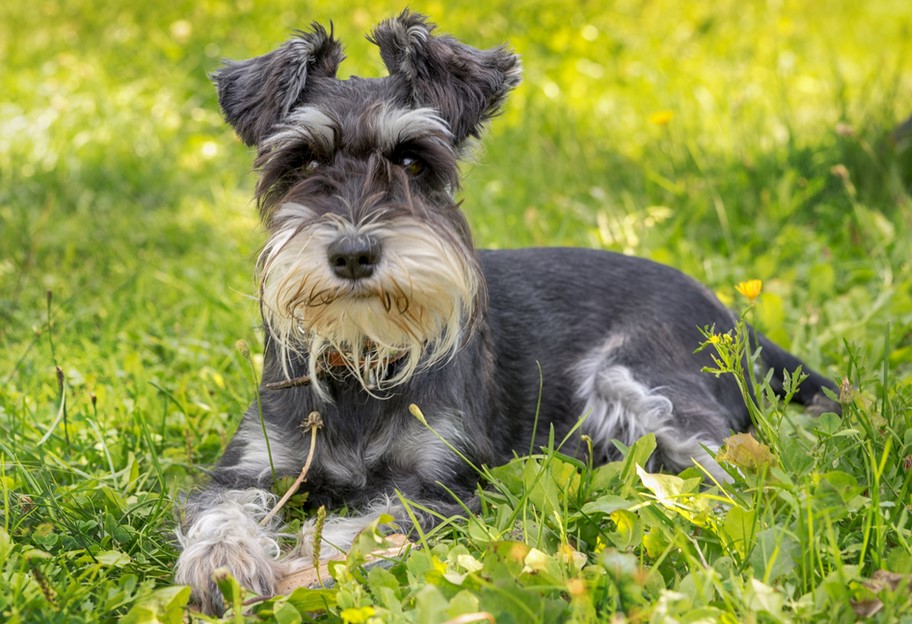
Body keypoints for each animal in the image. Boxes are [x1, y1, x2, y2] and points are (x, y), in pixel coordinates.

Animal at [175, 11, 836, 616]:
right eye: (304, 161)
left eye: (413, 161)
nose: (354, 253)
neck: (363, 360)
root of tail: (731, 317)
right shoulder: (249, 469)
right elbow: (219, 512)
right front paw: (225, 566)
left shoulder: (445, 483)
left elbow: (361, 527)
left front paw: (298, 573)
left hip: (643, 386)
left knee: (733, 478)